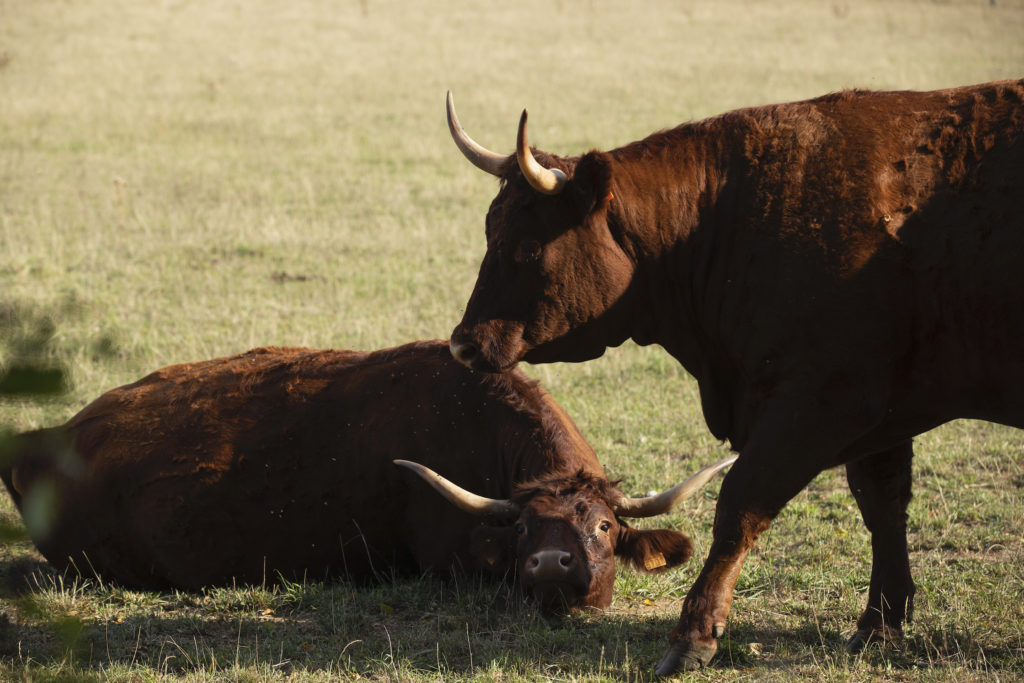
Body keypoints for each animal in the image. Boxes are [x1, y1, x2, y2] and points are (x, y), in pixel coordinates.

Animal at [446, 81, 1024, 671]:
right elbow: (883, 506)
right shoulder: (881, 415)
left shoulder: (821, 403)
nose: (463, 344)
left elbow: (741, 503)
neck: (732, 219)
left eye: (528, 245)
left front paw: (693, 635)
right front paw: (880, 625)